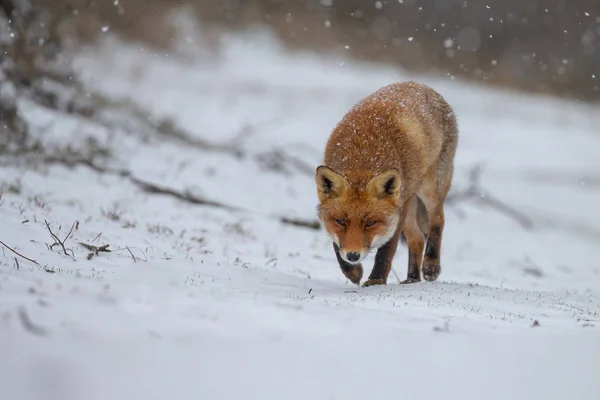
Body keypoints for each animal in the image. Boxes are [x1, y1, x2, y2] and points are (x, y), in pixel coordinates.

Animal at [316, 81, 458, 288]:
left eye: (371, 223)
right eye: (341, 221)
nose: (353, 256)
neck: (363, 155)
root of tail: (423, 85)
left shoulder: (399, 207)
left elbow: (387, 249)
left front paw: (376, 279)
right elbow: (336, 245)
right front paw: (352, 271)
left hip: (428, 190)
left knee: (438, 220)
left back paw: (431, 265)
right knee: (417, 239)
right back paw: (412, 279)